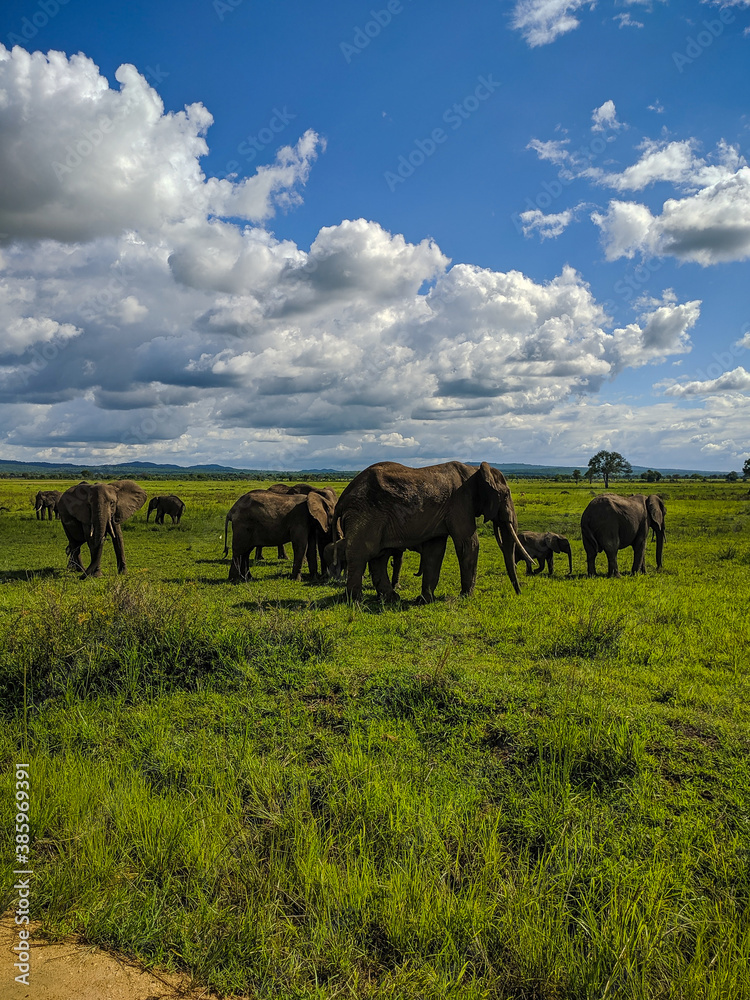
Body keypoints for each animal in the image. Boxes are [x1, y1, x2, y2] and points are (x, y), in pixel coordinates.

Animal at [333, 461, 533, 602]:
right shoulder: (460, 503)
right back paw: (355, 600)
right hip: (364, 514)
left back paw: (391, 599)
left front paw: (424, 600)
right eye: (506, 494)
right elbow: (468, 544)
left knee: (378, 557)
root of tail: (341, 500)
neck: (474, 470)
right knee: (361, 554)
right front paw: (465, 597)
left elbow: (434, 550)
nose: (519, 593)